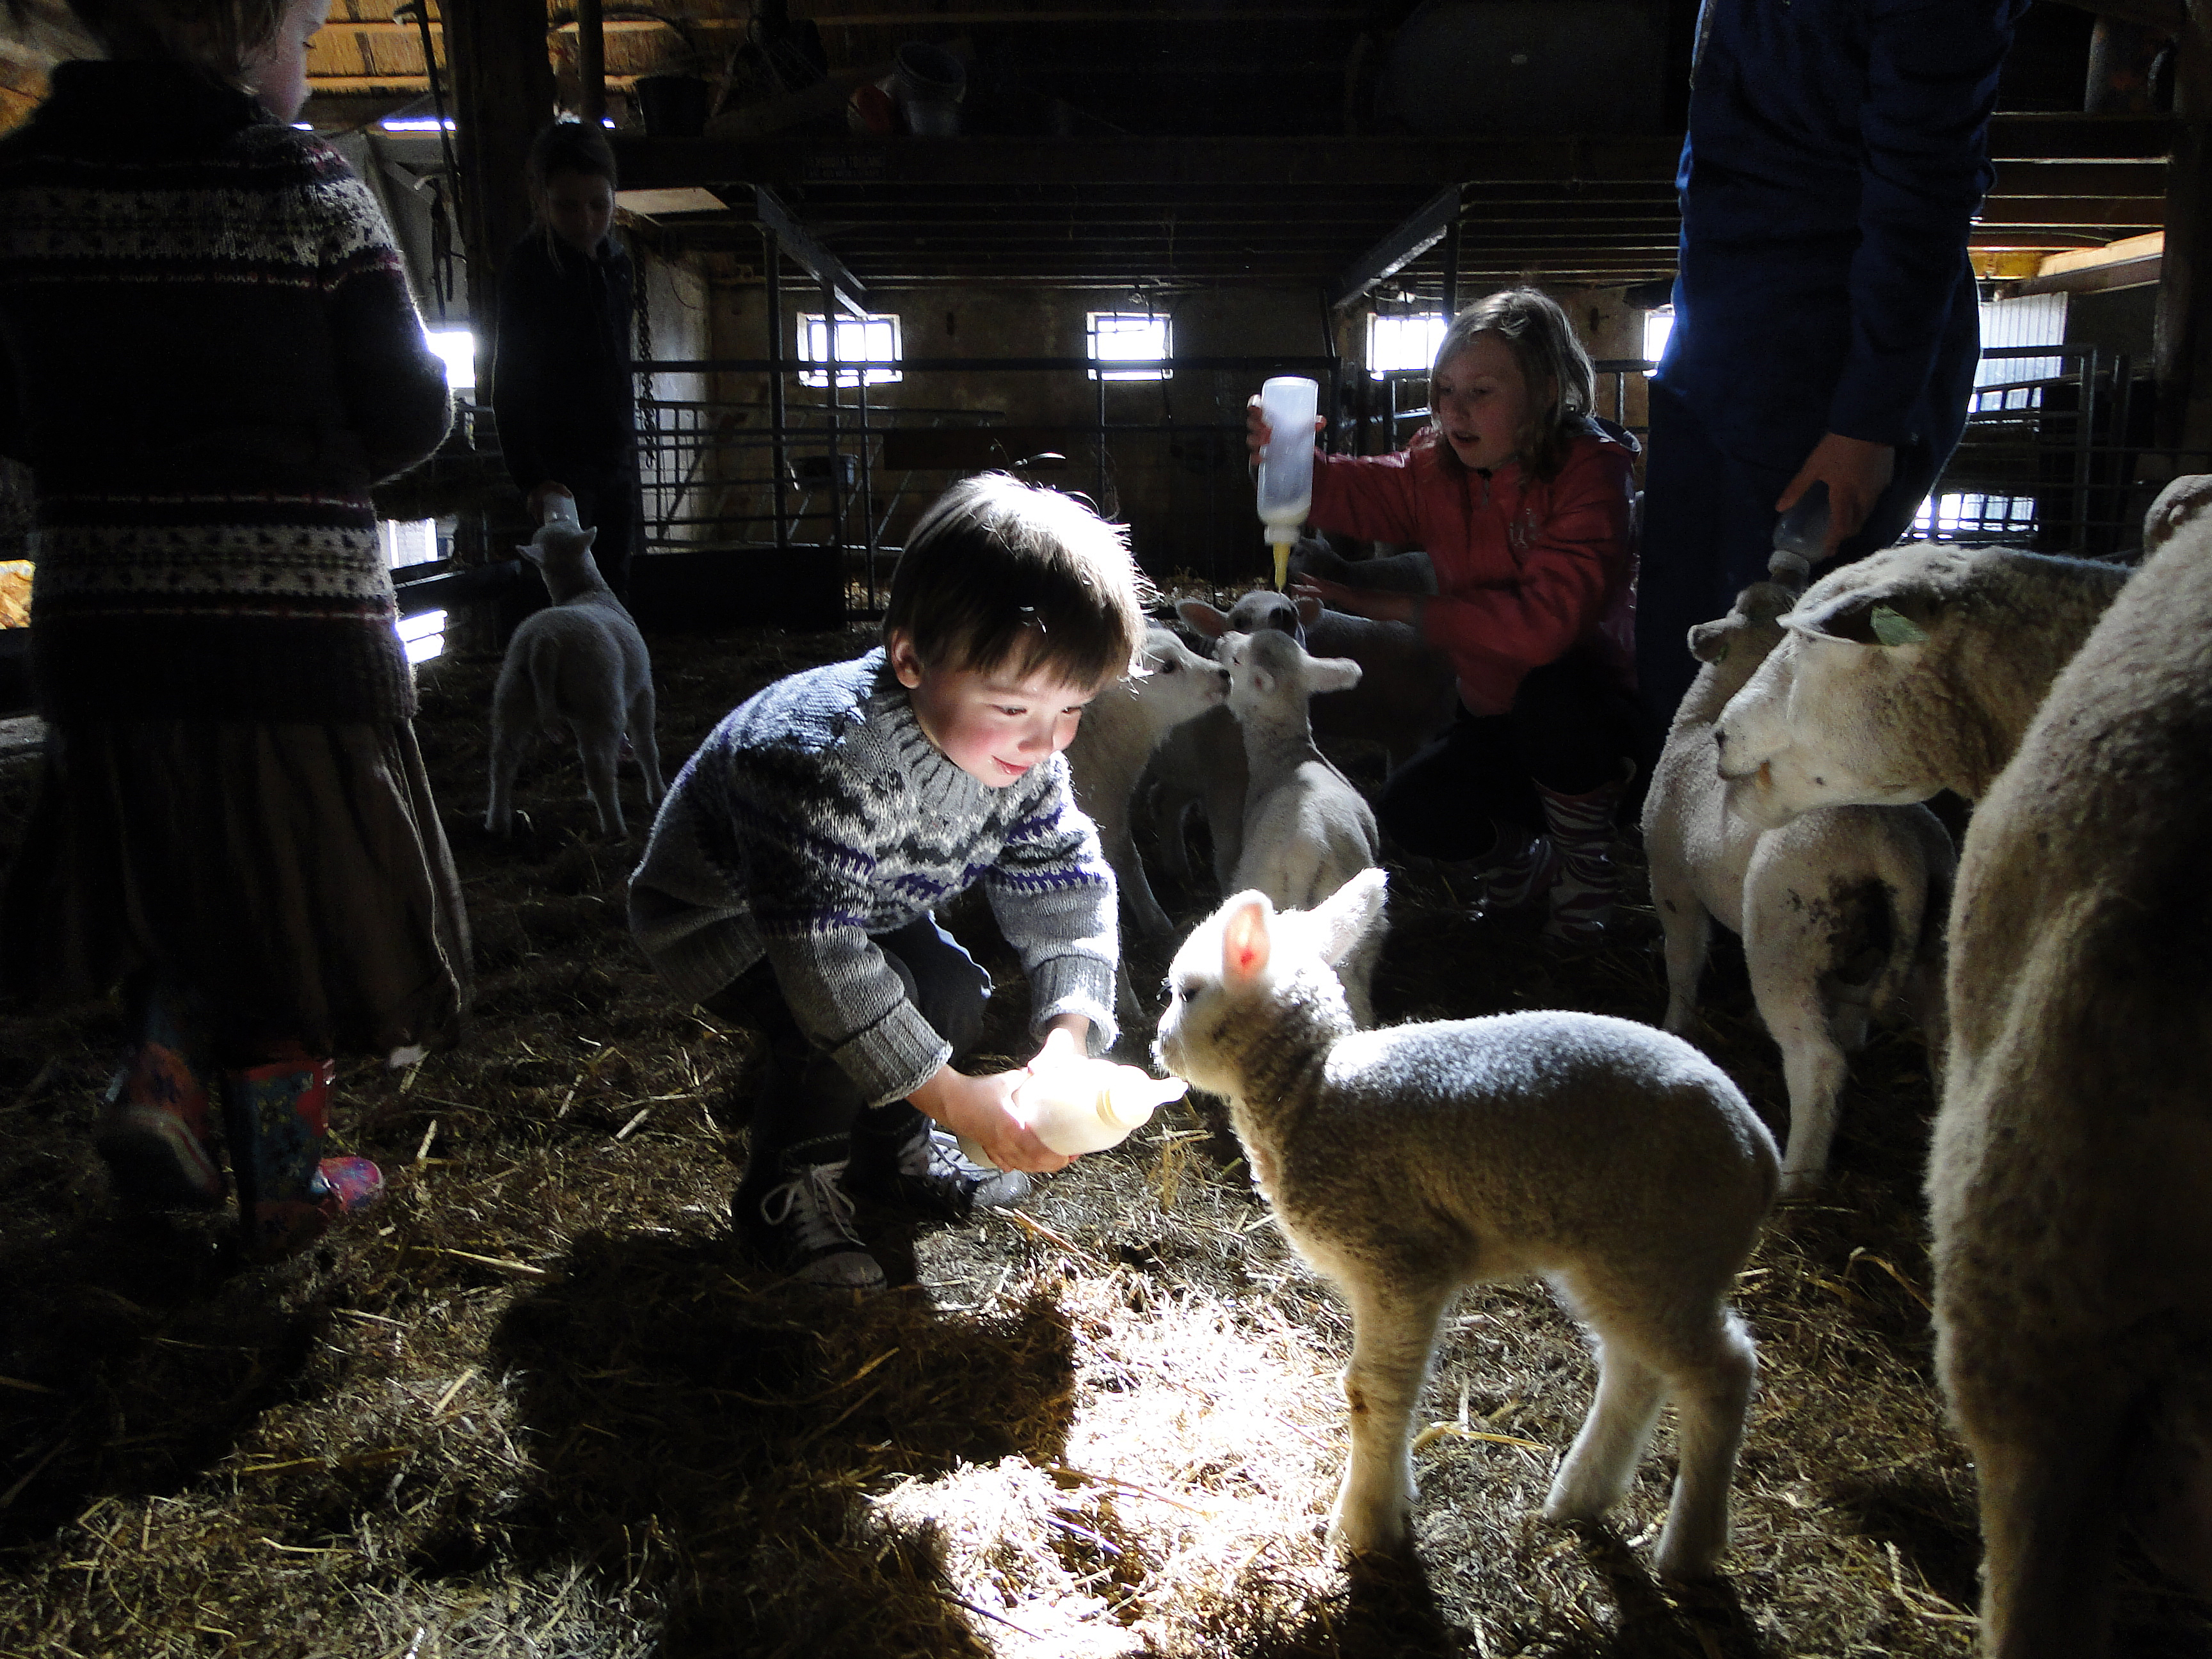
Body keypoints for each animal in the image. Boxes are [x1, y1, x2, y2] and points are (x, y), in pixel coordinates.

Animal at [484, 522, 654, 836]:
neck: (587, 591)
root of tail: (544, 643)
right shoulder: (642, 689)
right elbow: (646, 746)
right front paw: (658, 793)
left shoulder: (578, 714)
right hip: (600, 695)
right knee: (599, 764)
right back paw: (615, 827)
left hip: (515, 693)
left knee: (503, 761)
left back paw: (497, 823)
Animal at [1158, 871, 1778, 1583]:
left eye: (1187, 992)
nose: (1158, 1042)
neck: (1311, 1089)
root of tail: (1760, 1148)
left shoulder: (1397, 1259)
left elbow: (1373, 1391)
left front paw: (1365, 1526)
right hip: (1623, 1262)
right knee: (1635, 1368)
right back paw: (1580, 1496)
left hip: (1669, 1248)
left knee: (1722, 1372)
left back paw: (1689, 1548)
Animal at [1646, 575, 1955, 1194]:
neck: (1696, 725)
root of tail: (1891, 842)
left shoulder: (1671, 884)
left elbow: (1684, 962)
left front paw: (1675, 1026)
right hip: (1930, 929)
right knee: (1941, 1039)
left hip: (1784, 929)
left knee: (1818, 1061)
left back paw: (1797, 1178)